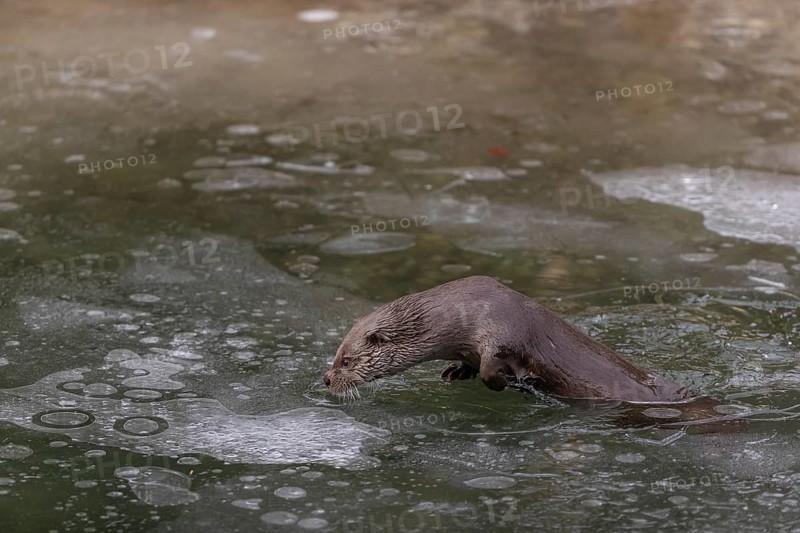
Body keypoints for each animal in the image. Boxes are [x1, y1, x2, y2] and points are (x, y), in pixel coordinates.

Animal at [323, 276, 694, 404]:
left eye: (346, 360)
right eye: (337, 353)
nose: (326, 379)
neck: (465, 313)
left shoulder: (503, 332)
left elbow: (495, 367)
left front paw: (512, 383)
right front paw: (458, 370)